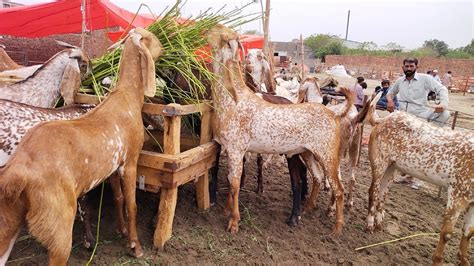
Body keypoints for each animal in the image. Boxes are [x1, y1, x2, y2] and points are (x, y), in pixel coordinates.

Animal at [0, 28, 161, 264]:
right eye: (152, 38)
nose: (165, 47)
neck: (126, 98)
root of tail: (18, 170)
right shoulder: (130, 160)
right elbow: (132, 205)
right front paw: (135, 247)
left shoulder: (112, 167)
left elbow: (119, 197)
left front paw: (121, 231)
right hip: (59, 225)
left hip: (9, 220)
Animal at [206, 24, 352, 233]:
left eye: (218, 31)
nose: (204, 29)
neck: (232, 99)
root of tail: (334, 114)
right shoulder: (230, 148)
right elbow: (231, 180)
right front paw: (227, 210)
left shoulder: (236, 148)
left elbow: (234, 183)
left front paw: (233, 221)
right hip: (307, 152)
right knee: (317, 176)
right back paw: (306, 209)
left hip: (327, 154)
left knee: (338, 188)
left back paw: (337, 227)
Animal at [364, 94, 472, 266]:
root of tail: (382, 120)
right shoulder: (458, 195)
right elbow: (447, 233)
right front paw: (437, 260)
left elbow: (468, 233)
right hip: (379, 162)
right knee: (372, 191)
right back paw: (369, 224)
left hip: (392, 167)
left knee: (383, 191)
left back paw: (379, 224)